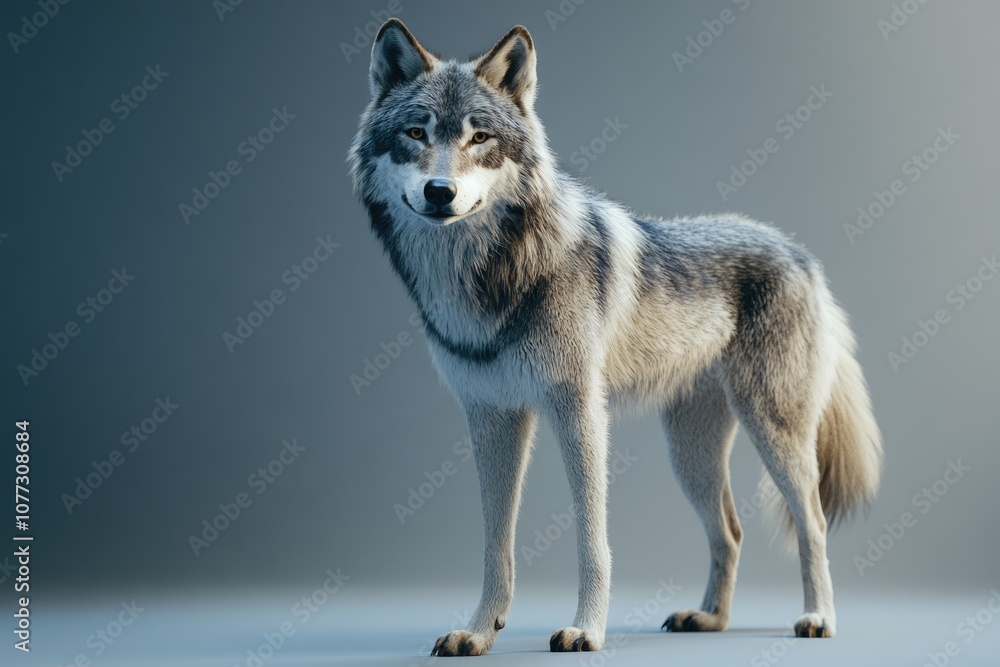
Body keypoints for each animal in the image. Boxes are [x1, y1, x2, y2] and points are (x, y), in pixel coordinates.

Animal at [349, 19, 882, 656]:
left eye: (479, 138)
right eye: (415, 133)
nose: (439, 192)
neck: (490, 279)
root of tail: (800, 253)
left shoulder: (579, 411)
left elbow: (591, 537)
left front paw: (587, 629)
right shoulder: (491, 418)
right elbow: (495, 544)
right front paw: (478, 632)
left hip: (774, 433)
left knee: (813, 523)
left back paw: (817, 618)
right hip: (691, 456)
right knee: (731, 530)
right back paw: (710, 619)